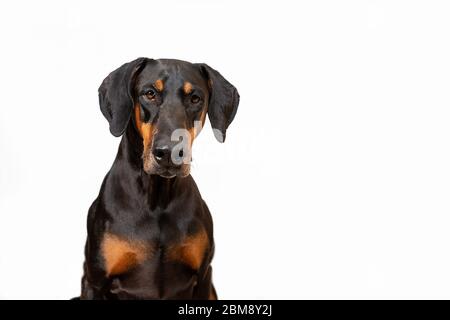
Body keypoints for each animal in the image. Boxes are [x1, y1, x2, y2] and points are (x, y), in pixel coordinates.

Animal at [78, 58, 239, 300]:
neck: (157, 198)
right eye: (150, 93)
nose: (169, 152)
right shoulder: (94, 281)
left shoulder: (203, 277)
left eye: (195, 98)